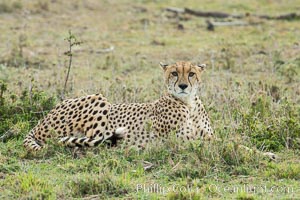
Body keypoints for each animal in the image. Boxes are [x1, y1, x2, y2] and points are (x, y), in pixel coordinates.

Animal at [24, 61, 214, 151]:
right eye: (174, 73)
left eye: (191, 74)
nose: (183, 86)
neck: (189, 104)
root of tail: (42, 121)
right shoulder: (177, 141)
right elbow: (194, 143)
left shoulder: (209, 138)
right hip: (98, 99)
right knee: (95, 139)